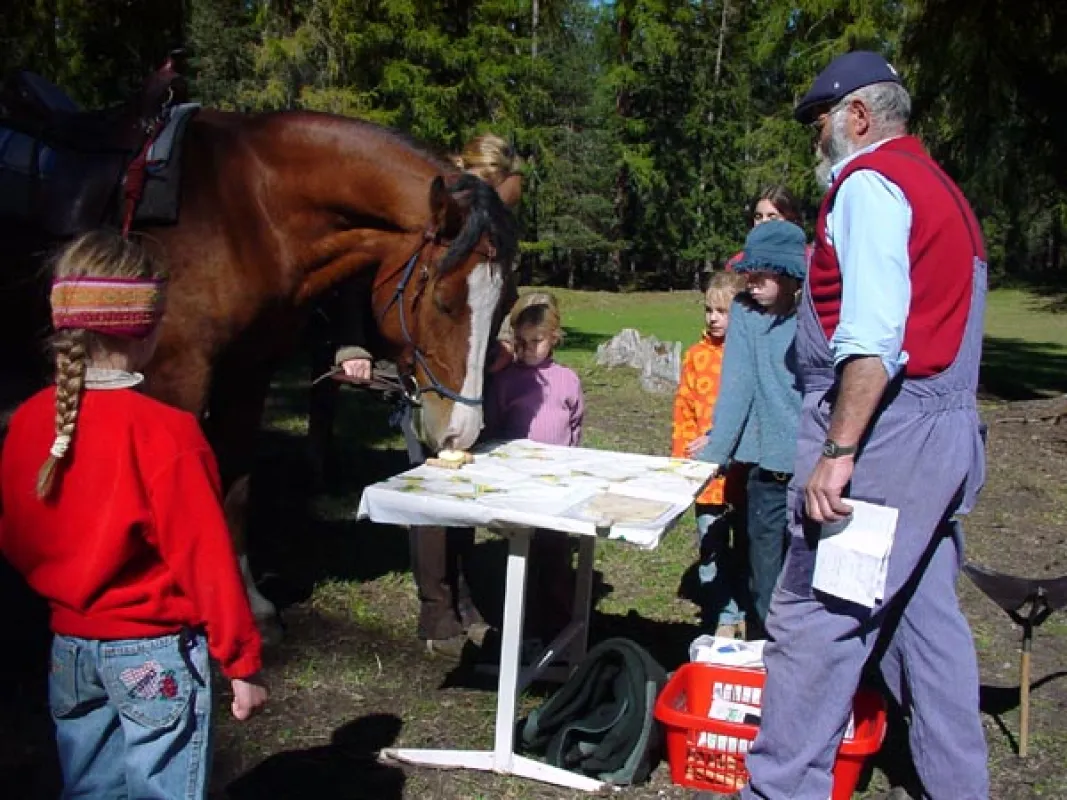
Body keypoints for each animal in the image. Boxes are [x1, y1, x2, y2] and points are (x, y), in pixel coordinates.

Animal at [1, 108, 520, 632]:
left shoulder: (248, 373)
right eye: (443, 300)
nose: (462, 431)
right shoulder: (177, 377)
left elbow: (235, 484)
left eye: (506, 303)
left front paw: (250, 602)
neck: (248, 210)